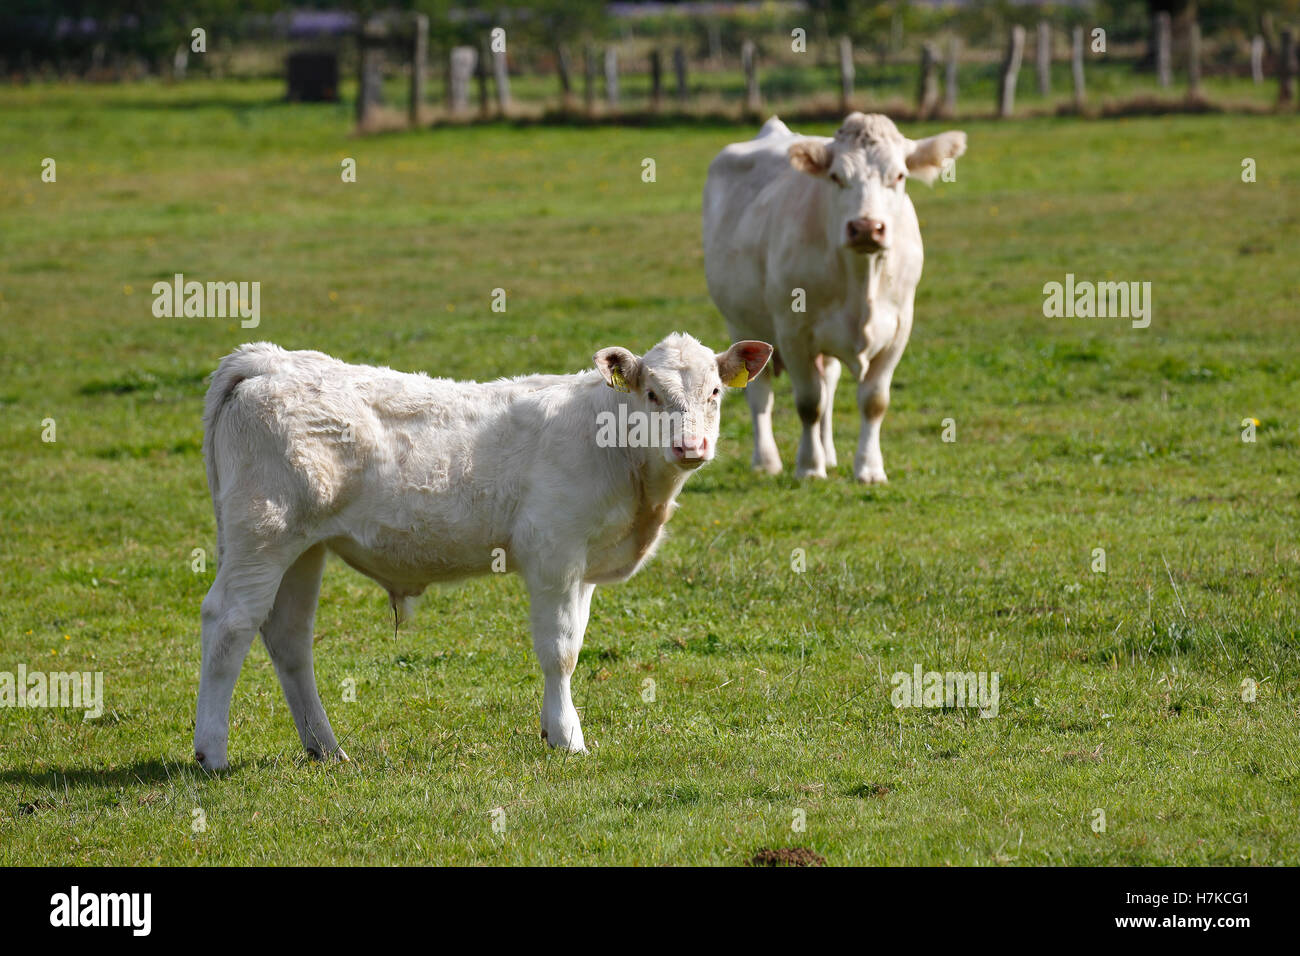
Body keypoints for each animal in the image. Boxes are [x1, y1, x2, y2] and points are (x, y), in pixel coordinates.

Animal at [195, 330, 769, 770]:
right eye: (651, 393)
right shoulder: (553, 553)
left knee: (288, 636)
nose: (691, 446)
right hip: (263, 532)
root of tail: (267, 360)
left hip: (302, 547)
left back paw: (326, 749)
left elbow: (576, 642)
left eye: (715, 391)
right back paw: (212, 754)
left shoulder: (583, 566)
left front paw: (554, 728)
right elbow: (559, 650)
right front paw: (568, 738)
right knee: (229, 622)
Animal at [702, 113, 967, 486]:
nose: (867, 227)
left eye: (899, 176)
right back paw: (766, 461)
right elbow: (808, 403)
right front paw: (810, 467)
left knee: (828, 385)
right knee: (761, 396)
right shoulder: (793, 333)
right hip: (741, 323)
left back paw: (829, 453)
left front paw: (868, 468)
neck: (861, 280)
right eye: (836, 177)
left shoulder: (899, 330)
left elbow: (873, 401)